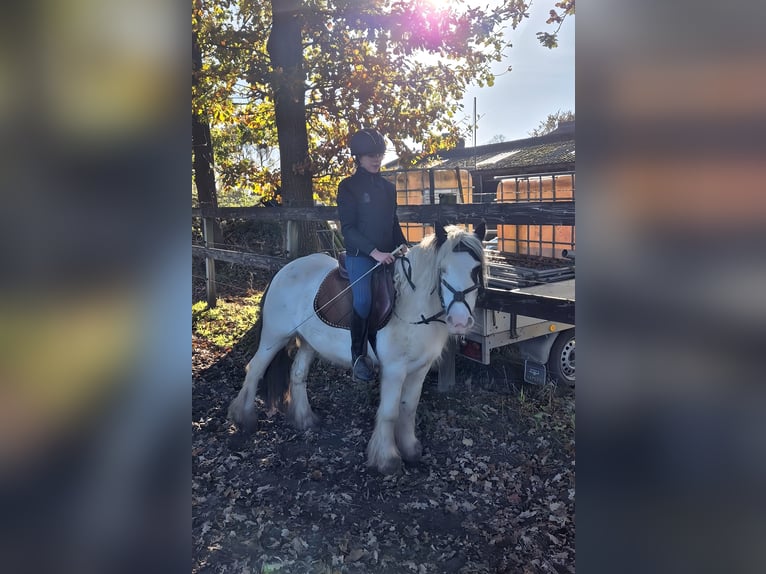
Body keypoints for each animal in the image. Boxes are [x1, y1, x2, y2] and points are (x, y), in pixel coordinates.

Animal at [228, 223, 486, 474]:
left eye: (476, 270)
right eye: (442, 270)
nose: (460, 321)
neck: (413, 304)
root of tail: (284, 270)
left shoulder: (420, 368)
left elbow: (409, 408)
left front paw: (411, 450)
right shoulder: (394, 370)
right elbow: (390, 412)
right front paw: (387, 460)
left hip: (309, 343)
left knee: (298, 374)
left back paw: (305, 419)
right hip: (274, 336)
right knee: (255, 369)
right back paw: (243, 418)